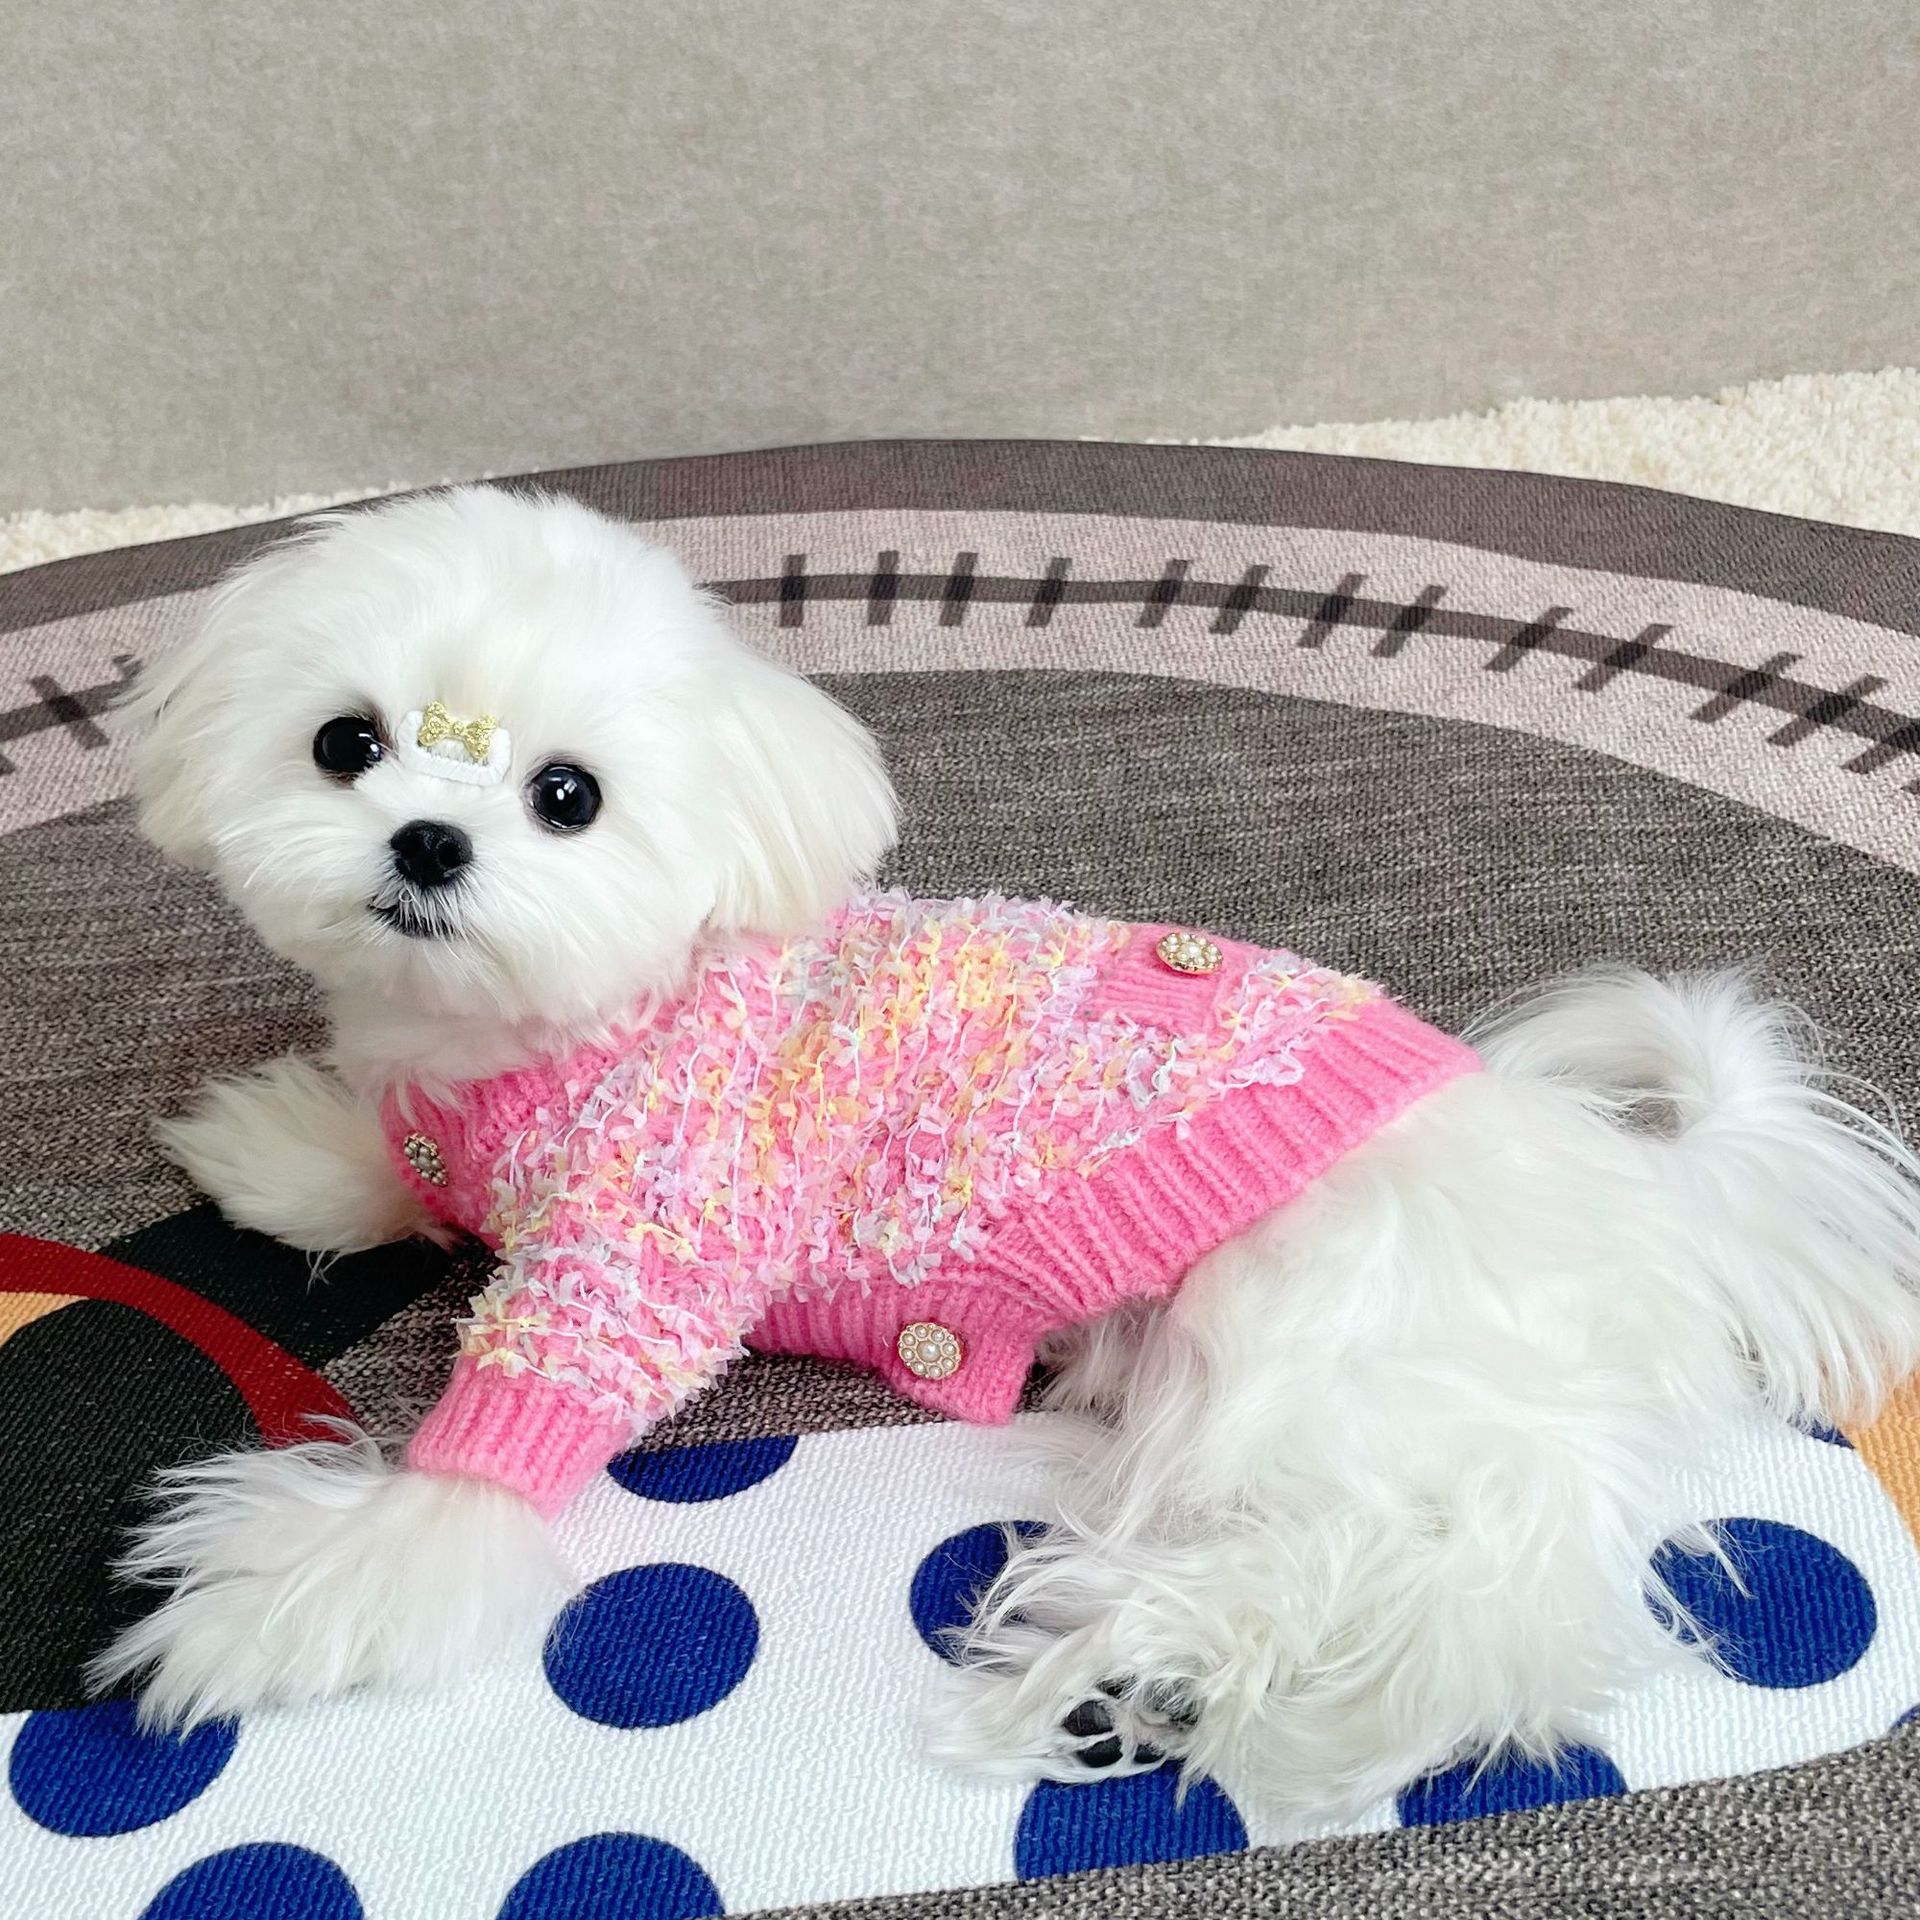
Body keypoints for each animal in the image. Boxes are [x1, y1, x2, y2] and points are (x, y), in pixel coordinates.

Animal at [95, 484, 1920, 1826]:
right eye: (346, 743)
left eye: (567, 796)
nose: (425, 841)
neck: (567, 1032)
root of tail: (1643, 1195)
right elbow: (395, 1160)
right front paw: (302, 1143)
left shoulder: (645, 1252)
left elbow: (495, 1451)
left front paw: (307, 1585)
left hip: (1307, 1326)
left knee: (1476, 1595)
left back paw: (1168, 1662)